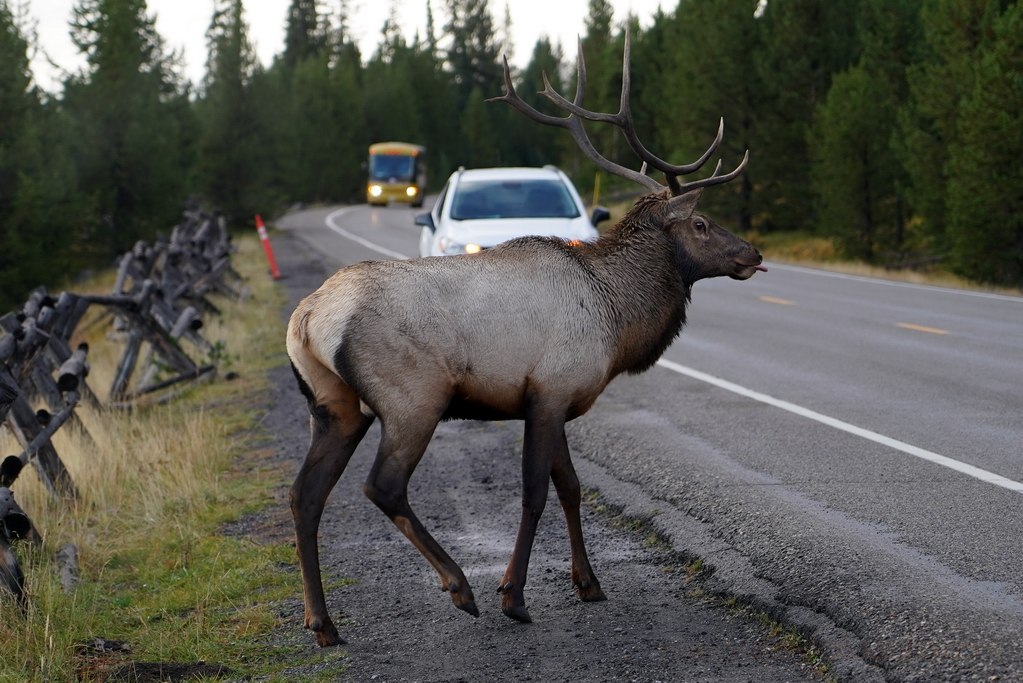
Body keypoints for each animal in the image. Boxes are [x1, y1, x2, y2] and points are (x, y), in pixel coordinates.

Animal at [284, 33, 765, 646]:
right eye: (701, 224)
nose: (752, 253)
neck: (618, 318)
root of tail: (307, 318)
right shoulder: (550, 391)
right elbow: (536, 493)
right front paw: (513, 594)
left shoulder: (552, 398)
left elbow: (571, 486)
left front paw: (589, 583)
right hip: (412, 399)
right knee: (382, 486)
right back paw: (459, 587)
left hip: (334, 406)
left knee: (305, 495)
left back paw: (322, 623)